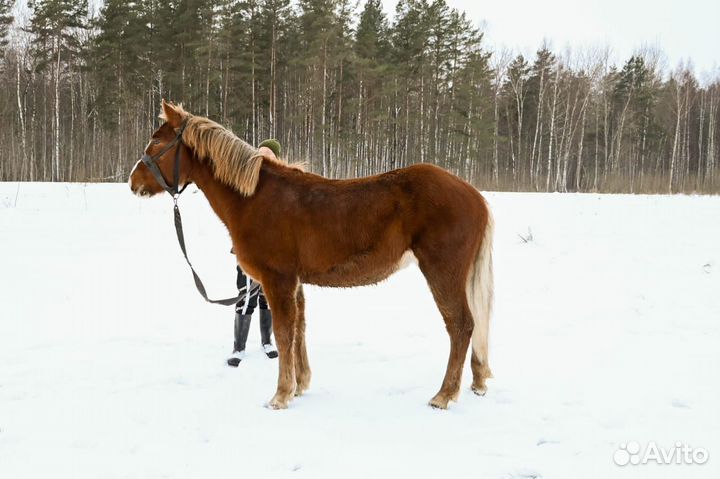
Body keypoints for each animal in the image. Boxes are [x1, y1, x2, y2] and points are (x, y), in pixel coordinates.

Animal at [129, 100, 494, 410]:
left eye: (156, 142)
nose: (133, 182)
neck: (254, 198)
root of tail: (475, 196)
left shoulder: (277, 279)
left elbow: (283, 332)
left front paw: (279, 396)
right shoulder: (294, 281)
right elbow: (299, 330)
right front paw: (300, 385)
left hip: (442, 272)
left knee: (461, 325)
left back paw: (444, 395)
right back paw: (476, 383)